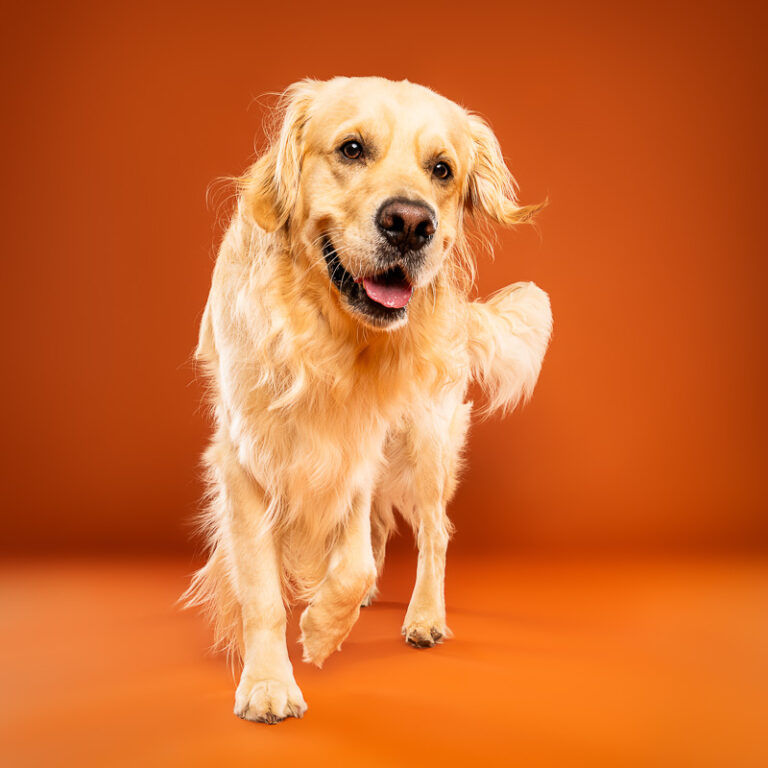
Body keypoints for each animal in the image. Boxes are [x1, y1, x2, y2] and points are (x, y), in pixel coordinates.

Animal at [188, 78, 552, 728]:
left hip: (426, 442)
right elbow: (262, 590)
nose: (410, 223)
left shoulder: (357, 449)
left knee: (433, 533)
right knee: (384, 528)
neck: (329, 344)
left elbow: (352, 561)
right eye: (352, 148)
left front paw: (320, 631)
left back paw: (423, 615)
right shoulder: (244, 458)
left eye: (442, 169)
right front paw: (268, 682)